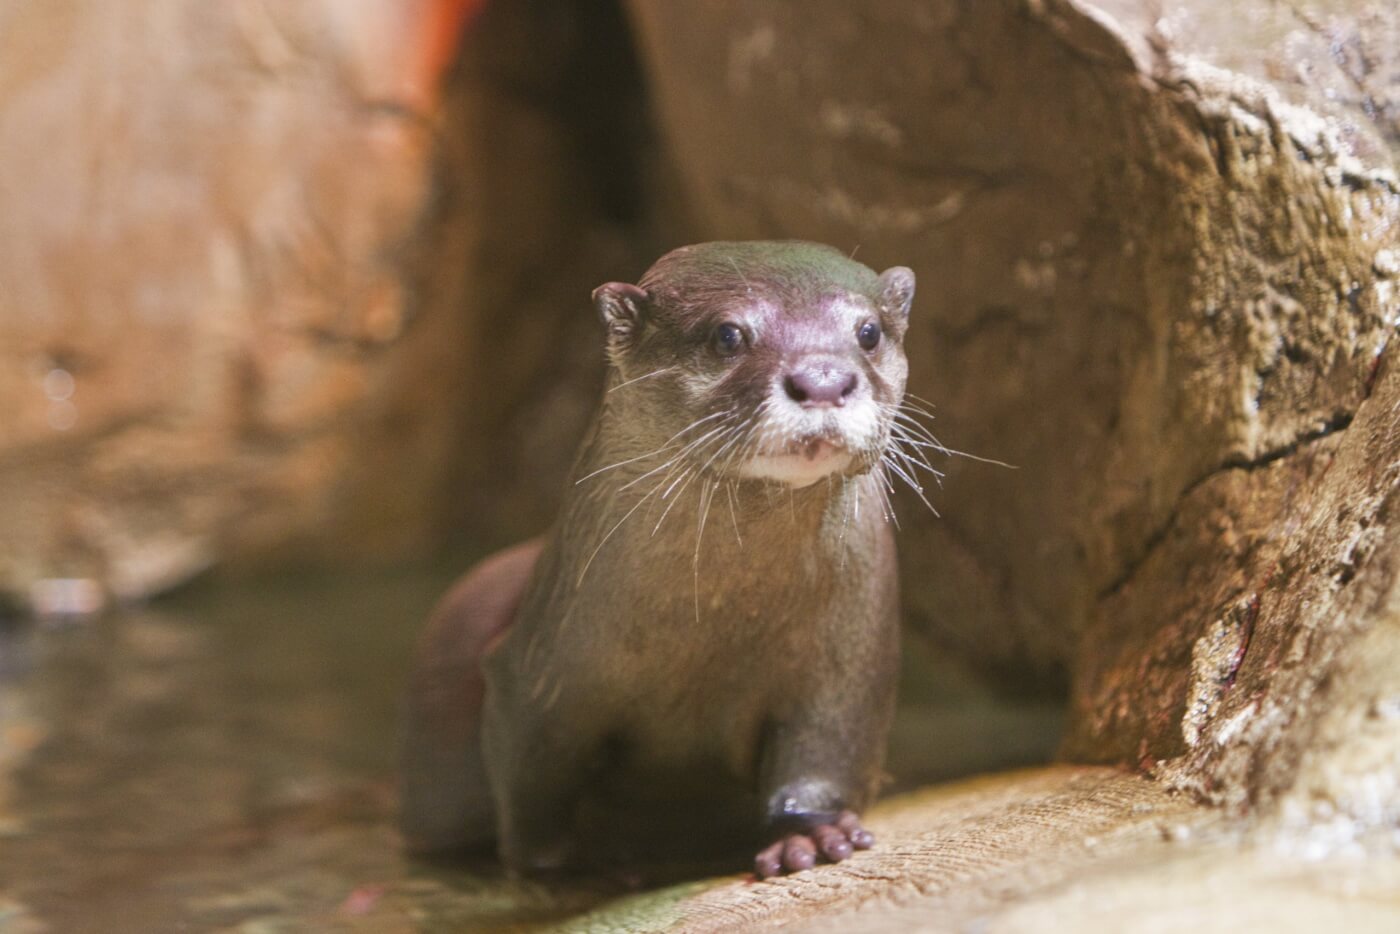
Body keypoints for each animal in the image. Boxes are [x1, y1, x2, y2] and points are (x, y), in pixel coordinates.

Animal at [400, 239, 918, 879]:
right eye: (727, 335)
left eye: (868, 332)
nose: (823, 379)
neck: (715, 621)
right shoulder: (536, 670)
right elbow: (530, 788)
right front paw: (557, 867)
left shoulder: (848, 664)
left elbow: (825, 751)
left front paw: (812, 835)